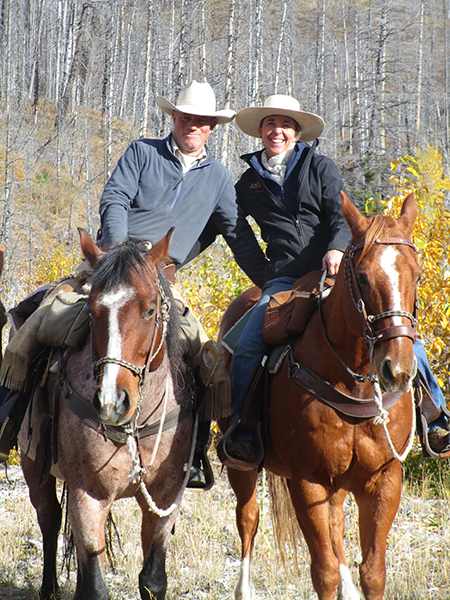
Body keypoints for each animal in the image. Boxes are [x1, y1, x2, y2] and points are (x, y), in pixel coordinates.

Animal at [18, 230, 193, 600]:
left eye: (150, 310)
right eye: (92, 311)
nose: (112, 402)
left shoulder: (166, 498)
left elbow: (153, 579)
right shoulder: (89, 496)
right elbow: (96, 587)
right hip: (35, 467)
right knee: (50, 520)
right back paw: (49, 589)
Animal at [220, 193, 420, 600]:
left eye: (418, 274)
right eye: (362, 277)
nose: (397, 369)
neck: (352, 381)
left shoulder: (384, 480)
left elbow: (373, 572)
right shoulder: (307, 480)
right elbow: (323, 572)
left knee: (336, 527)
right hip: (241, 465)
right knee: (248, 519)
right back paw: (243, 589)